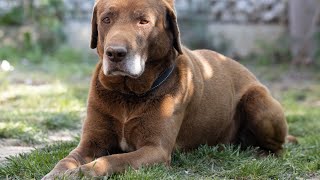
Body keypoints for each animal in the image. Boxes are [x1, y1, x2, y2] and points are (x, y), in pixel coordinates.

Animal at [43, 0, 290, 178]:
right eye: (106, 19)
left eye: (143, 21)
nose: (115, 53)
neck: (128, 94)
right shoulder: (91, 142)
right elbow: (67, 158)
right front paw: (58, 172)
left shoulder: (156, 150)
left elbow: (110, 159)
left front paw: (81, 173)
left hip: (258, 100)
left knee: (279, 147)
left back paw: (257, 152)